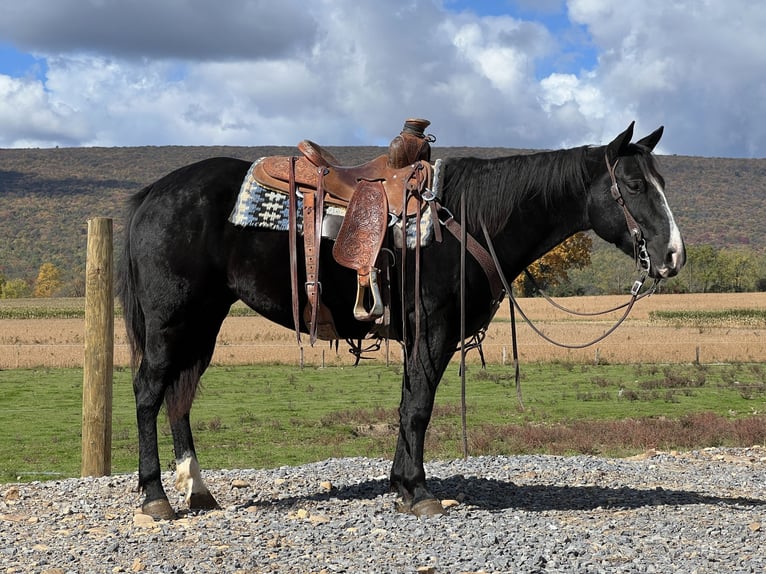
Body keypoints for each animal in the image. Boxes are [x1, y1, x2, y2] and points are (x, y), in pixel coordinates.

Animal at [118, 122, 684, 520]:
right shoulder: (434, 331)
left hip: (203, 320)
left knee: (180, 395)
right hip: (171, 320)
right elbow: (418, 408)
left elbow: (409, 403)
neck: (466, 218)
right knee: (149, 392)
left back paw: (199, 490)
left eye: (660, 181)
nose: (673, 256)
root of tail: (150, 195)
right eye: (634, 184)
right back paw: (155, 497)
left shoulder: (422, 338)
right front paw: (418, 491)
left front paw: (401, 485)